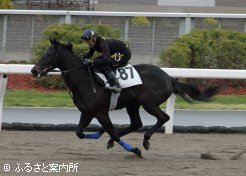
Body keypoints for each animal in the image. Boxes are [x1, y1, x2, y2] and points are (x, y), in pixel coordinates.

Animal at [31, 38, 219, 157]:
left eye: (49, 54)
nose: (33, 70)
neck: (83, 79)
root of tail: (168, 77)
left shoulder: (101, 112)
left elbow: (113, 133)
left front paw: (135, 150)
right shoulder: (87, 112)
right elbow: (79, 132)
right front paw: (100, 133)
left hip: (149, 104)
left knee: (163, 118)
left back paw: (146, 140)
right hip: (132, 104)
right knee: (136, 123)